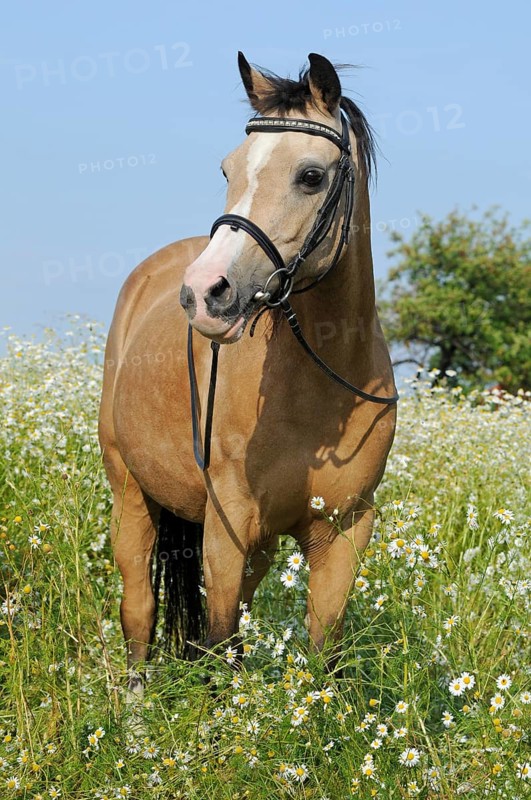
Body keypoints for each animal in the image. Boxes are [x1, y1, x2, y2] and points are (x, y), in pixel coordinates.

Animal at [98, 52, 397, 696]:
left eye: (310, 176)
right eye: (228, 168)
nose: (203, 293)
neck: (319, 386)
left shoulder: (343, 531)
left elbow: (322, 649)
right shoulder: (226, 523)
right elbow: (217, 643)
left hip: (257, 547)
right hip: (131, 493)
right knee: (140, 612)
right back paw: (134, 709)